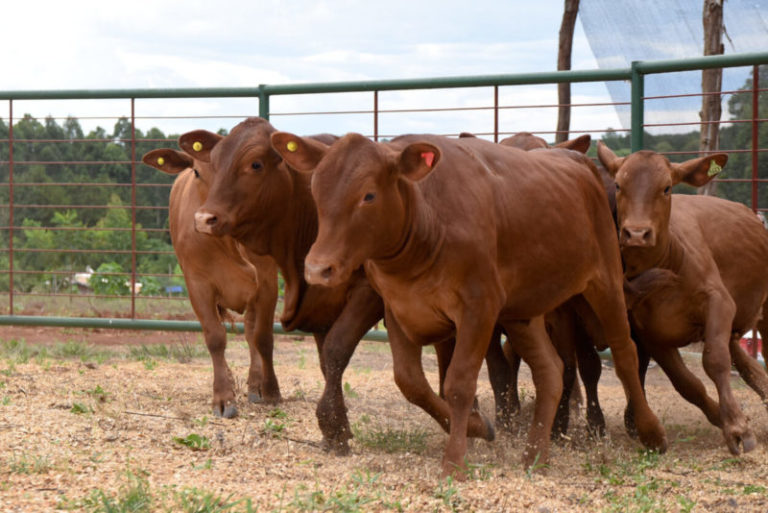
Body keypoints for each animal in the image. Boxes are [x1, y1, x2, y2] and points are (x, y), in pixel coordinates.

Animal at [141, 146, 280, 418]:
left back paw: (255, 385)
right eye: (197, 171)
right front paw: (224, 397)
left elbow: (263, 337)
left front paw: (270, 390)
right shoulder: (198, 285)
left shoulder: (267, 282)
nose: (211, 215)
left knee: (251, 332)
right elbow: (215, 338)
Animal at [274, 130, 664, 474]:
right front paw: (479, 426)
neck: (427, 224)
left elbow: (459, 384)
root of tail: (578, 161)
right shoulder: (398, 308)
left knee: (624, 352)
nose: (317, 268)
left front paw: (455, 462)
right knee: (551, 369)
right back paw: (535, 456)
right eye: (315, 189)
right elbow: (411, 382)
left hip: (605, 282)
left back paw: (651, 433)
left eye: (368, 195)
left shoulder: (479, 308)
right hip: (524, 311)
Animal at [596, 142, 768, 454]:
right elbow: (686, 383)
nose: (636, 233)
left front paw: (738, 428)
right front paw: (727, 419)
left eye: (666, 188)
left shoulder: (719, 302)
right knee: (749, 367)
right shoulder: (651, 335)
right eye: (618, 185)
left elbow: (715, 361)